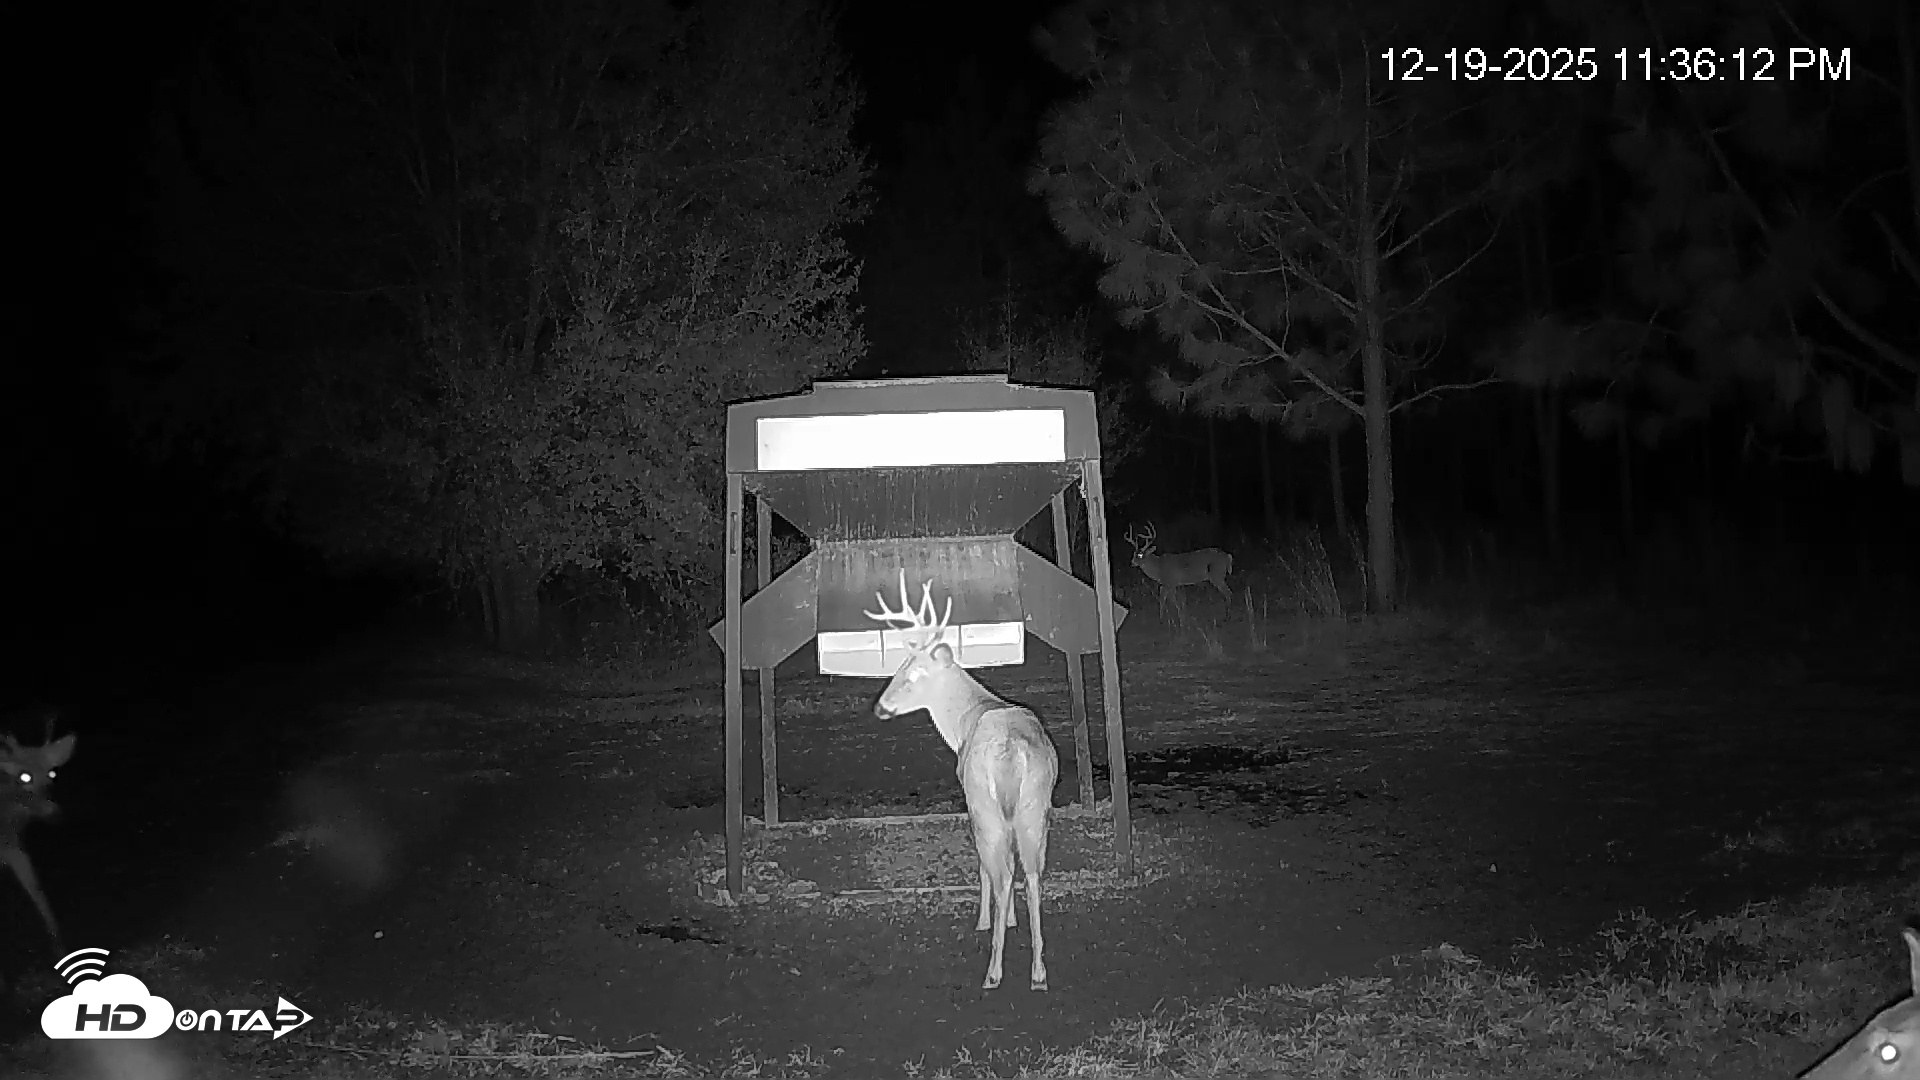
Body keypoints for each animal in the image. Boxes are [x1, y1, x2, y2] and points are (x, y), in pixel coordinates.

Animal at [2, 714, 76, 956]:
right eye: (24, 776)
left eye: (52, 772)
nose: (54, 813)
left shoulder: (14, 848)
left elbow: (37, 891)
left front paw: (60, 949)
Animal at [865, 570, 1059, 991]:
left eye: (911, 673)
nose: (880, 707)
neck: (968, 717)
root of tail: (1011, 753)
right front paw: (1011, 921)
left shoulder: (969, 800)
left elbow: (986, 867)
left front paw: (990, 921)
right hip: (1035, 806)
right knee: (1033, 873)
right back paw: (1038, 971)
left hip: (985, 804)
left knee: (1000, 872)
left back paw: (994, 970)